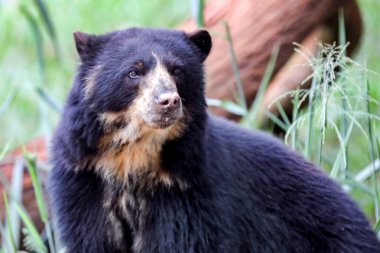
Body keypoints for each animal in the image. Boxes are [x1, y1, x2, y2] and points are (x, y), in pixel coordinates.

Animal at [48, 28, 380, 253]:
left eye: (177, 70)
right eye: (134, 72)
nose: (168, 101)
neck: (134, 156)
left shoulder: (188, 191)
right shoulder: (85, 178)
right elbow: (93, 238)